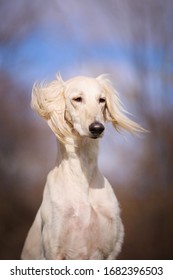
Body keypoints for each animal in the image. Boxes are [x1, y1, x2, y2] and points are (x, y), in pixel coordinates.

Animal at [21, 74, 143, 260]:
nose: (97, 128)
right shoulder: (53, 249)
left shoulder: (108, 250)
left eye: (101, 100)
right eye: (77, 99)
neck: (82, 178)